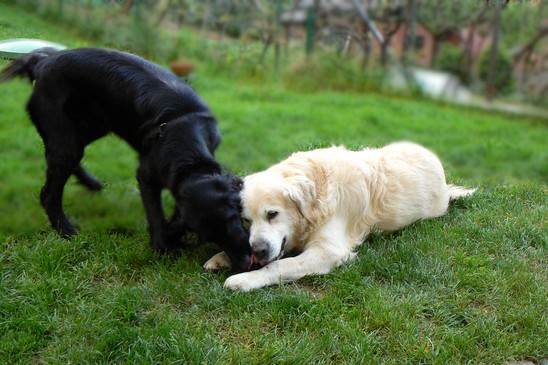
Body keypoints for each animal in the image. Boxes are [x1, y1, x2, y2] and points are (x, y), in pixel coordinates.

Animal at [0, 46, 250, 270]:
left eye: (233, 221)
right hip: (65, 136)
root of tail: (42, 61)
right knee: (48, 193)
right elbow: (155, 212)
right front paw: (162, 243)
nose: (245, 262)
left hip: (93, 126)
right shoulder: (147, 174)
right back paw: (66, 229)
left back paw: (91, 183)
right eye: (210, 237)